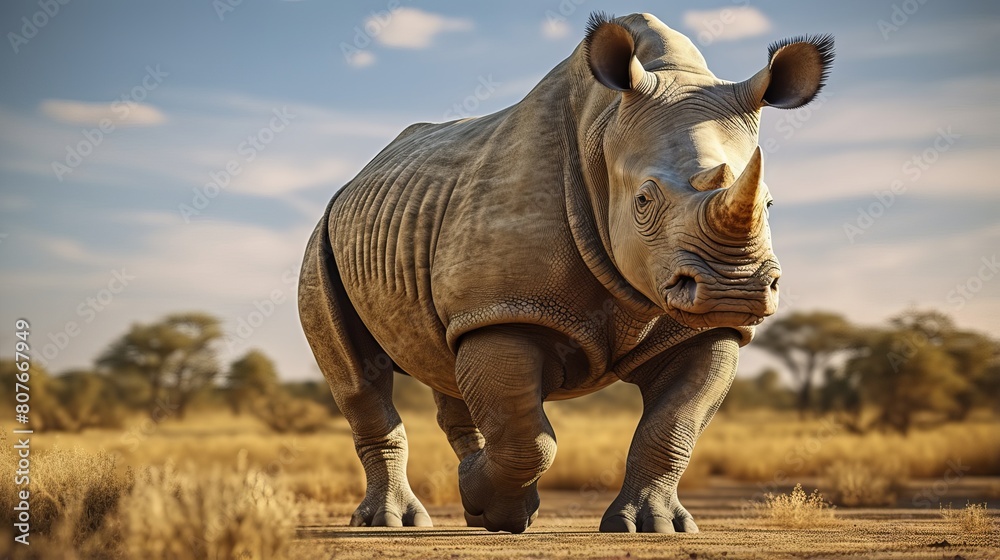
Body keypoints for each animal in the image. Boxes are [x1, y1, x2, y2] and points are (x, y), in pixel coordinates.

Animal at [299, 12, 833, 533]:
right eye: (644, 200)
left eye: (769, 204)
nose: (734, 291)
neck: (605, 129)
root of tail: (357, 177)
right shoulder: (505, 310)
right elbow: (528, 437)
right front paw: (502, 513)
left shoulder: (704, 329)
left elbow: (672, 427)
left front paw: (654, 526)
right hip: (322, 240)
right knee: (358, 378)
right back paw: (394, 521)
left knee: (444, 363)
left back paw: (463, 502)